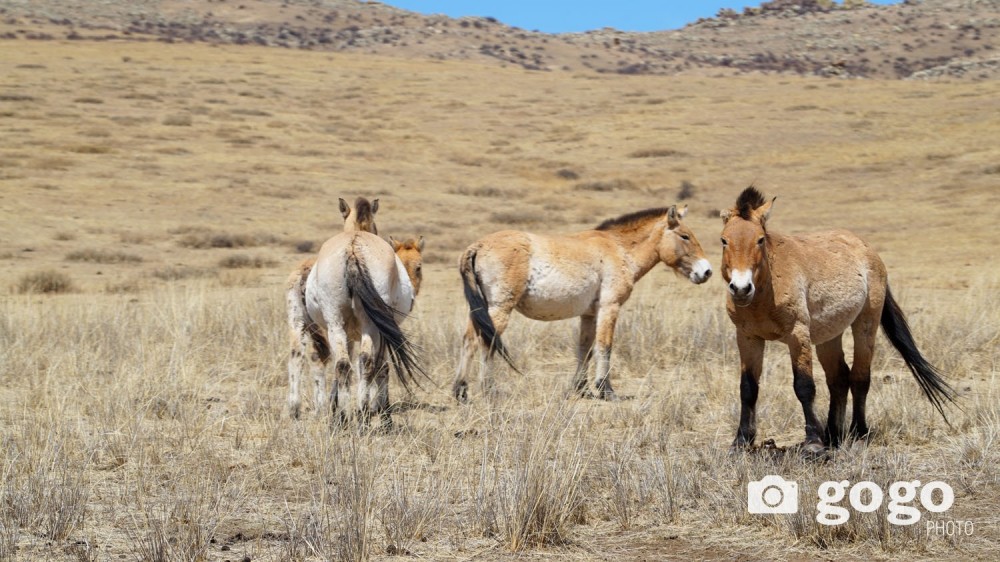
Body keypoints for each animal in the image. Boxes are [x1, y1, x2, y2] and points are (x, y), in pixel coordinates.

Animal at [453, 204, 712, 403]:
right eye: (685, 236)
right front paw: (606, 390)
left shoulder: (589, 315)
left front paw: (582, 389)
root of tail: (476, 246)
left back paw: (461, 391)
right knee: (486, 343)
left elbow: (584, 349)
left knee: (468, 341)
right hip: (500, 309)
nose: (706, 271)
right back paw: (489, 390)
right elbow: (605, 347)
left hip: (481, 310)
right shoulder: (610, 307)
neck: (618, 249)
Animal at [719, 186, 955, 454]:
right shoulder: (747, 337)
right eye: (724, 240)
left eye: (760, 239)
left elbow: (804, 386)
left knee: (860, 377)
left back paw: (858, 432)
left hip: (865, 325)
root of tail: (867, 248)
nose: (741, 288)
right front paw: (740, 441)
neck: (766, 293)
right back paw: (833, 435)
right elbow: (748, 388)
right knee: (839, 378)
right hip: (828, 337)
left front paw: (813, 443)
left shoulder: (797, 335)